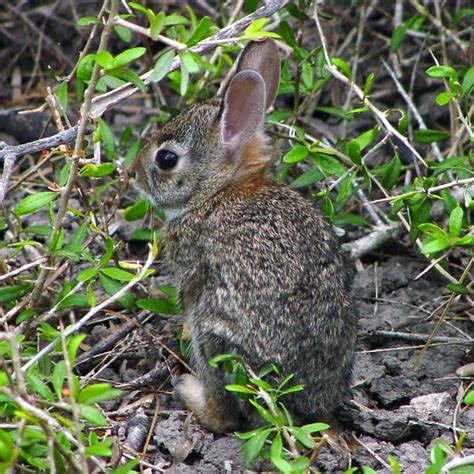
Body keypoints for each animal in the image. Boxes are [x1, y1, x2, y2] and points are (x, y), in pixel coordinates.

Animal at [132, 39, 356, 434]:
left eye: (167, 159)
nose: (132, 174)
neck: (219, 191)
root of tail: (299, 403)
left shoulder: (192, 271)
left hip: (216, 337)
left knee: (226, 414)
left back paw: (190, 393)